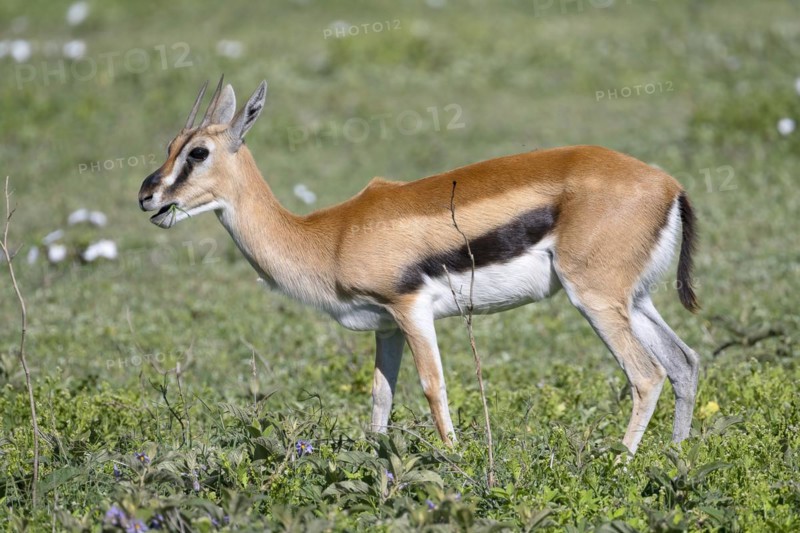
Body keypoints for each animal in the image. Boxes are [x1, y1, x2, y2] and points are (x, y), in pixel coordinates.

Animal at [138, 77, 700, 455]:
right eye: (169, 146)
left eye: (198, 152)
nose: (147, 196)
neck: (331, 235)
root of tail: (669, 185)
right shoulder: (385, 327)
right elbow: (380, 400)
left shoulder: (410, 310)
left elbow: (433, 387)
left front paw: (456, 464)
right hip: (635, 300)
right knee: (684, 363)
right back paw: (676, 460)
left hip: (595, 299)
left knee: (646, 374)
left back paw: (620, 464)